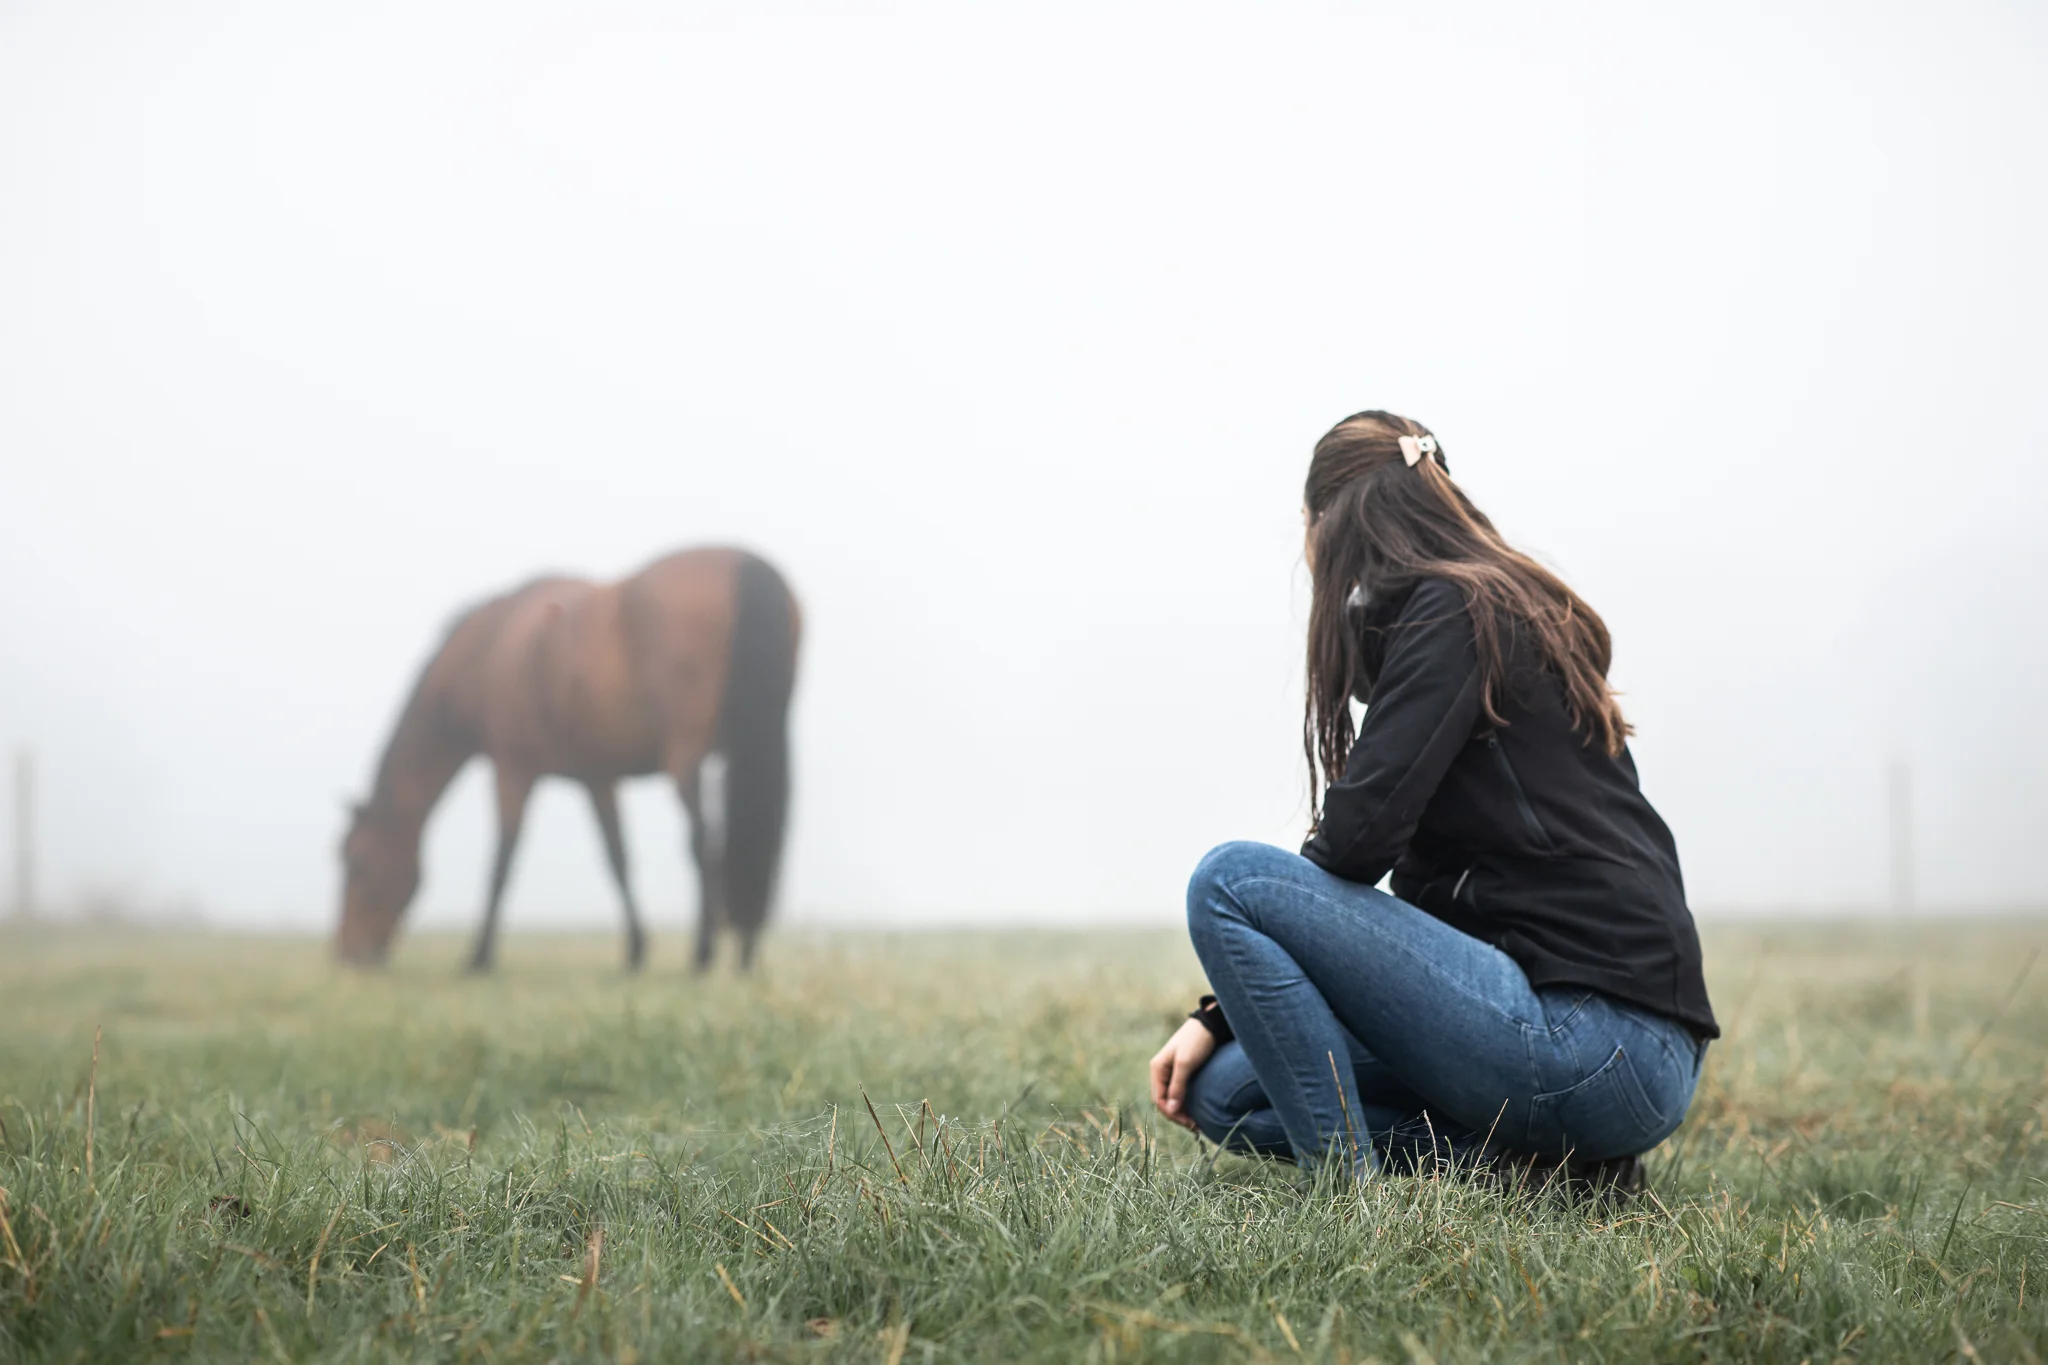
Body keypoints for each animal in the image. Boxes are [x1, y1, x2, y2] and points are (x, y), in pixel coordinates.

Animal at [335, 544, 798, 970]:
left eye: (358, 862)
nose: (347, 951)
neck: (486, 650)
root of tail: (748, 564)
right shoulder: (597, 776)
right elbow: (617, 857)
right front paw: (635, 950)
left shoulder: (512, 766)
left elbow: (503, 858)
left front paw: (479, 956)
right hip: (760, 737)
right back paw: (746, 950)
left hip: (684, 750)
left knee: (703, 840)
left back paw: (703, 953)